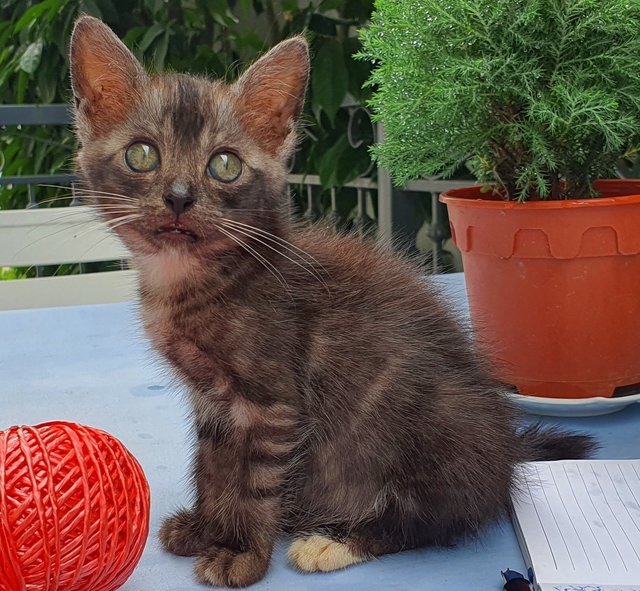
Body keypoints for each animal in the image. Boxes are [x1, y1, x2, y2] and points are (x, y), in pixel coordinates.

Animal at [70, 16, 596, 588]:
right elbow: (213, 467)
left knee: (432, 519)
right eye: (141, 154)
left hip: (437, 429)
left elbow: (253, 482)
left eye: (225, 165)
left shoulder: (272, 401)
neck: (193, 277)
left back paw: (333, 542)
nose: (180, 197)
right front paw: (207, 527)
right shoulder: (211, 400)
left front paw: (241, 552)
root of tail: (505, 452)